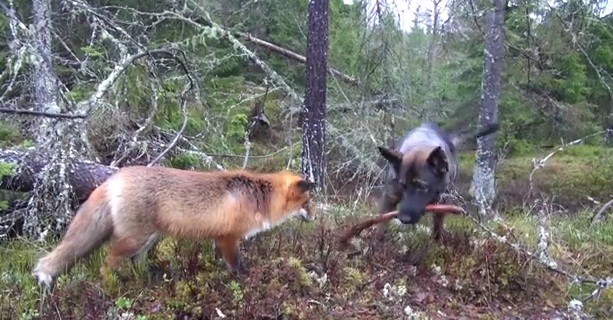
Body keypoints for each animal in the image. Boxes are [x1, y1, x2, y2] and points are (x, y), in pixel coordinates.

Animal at [32, 166, 316, 288]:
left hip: (147, 239)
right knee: (107, 264)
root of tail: (115, 177)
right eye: (308, 202)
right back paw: (111, 287)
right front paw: (244, 282)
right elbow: (236, 267)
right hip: (133, 239)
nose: (313, 218)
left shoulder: (222, 239)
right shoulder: (228, 238)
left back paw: (149, 281)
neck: (258, 197)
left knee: (137, 262)